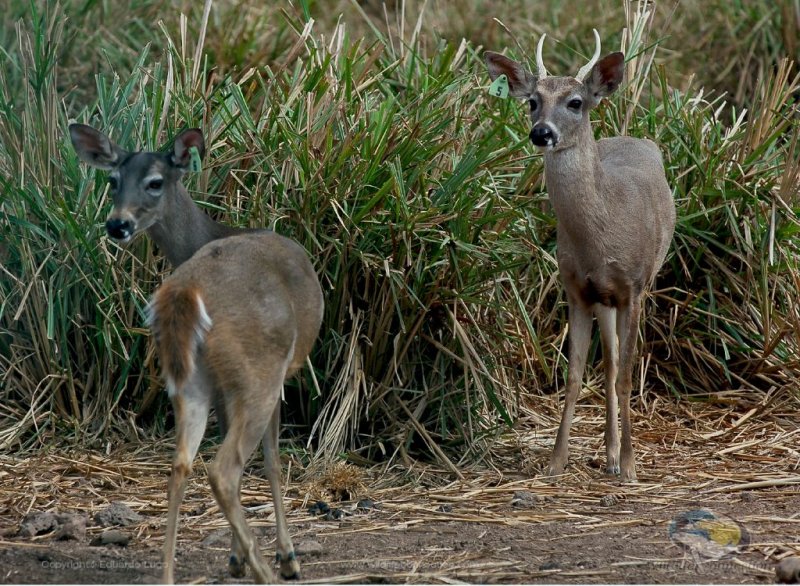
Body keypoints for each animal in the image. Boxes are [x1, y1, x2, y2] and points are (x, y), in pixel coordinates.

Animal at [69, 124, 324, 580]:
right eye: (112, 181)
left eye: (154, 182)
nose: (117, 224)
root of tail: (188, 290)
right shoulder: (273, 375)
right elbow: (273, 461)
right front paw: (285, 556)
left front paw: (236, 557)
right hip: (258, 371)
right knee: (223, 469)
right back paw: (267, 570)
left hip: (190, 380)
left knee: (182, 464)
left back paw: (175, 574)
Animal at [488, 29, 676, 482]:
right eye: (532, 100)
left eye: (575, 102)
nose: (542, 133)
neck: (601, 235)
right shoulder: (575, 289)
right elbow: (574, 375)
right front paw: (555, 462)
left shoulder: (633, 289)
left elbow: (626, 377)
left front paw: (631, 467)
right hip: (600, 299)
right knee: (605, 363)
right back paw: (607, 454)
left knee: (615, 366)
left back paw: (616, 458)